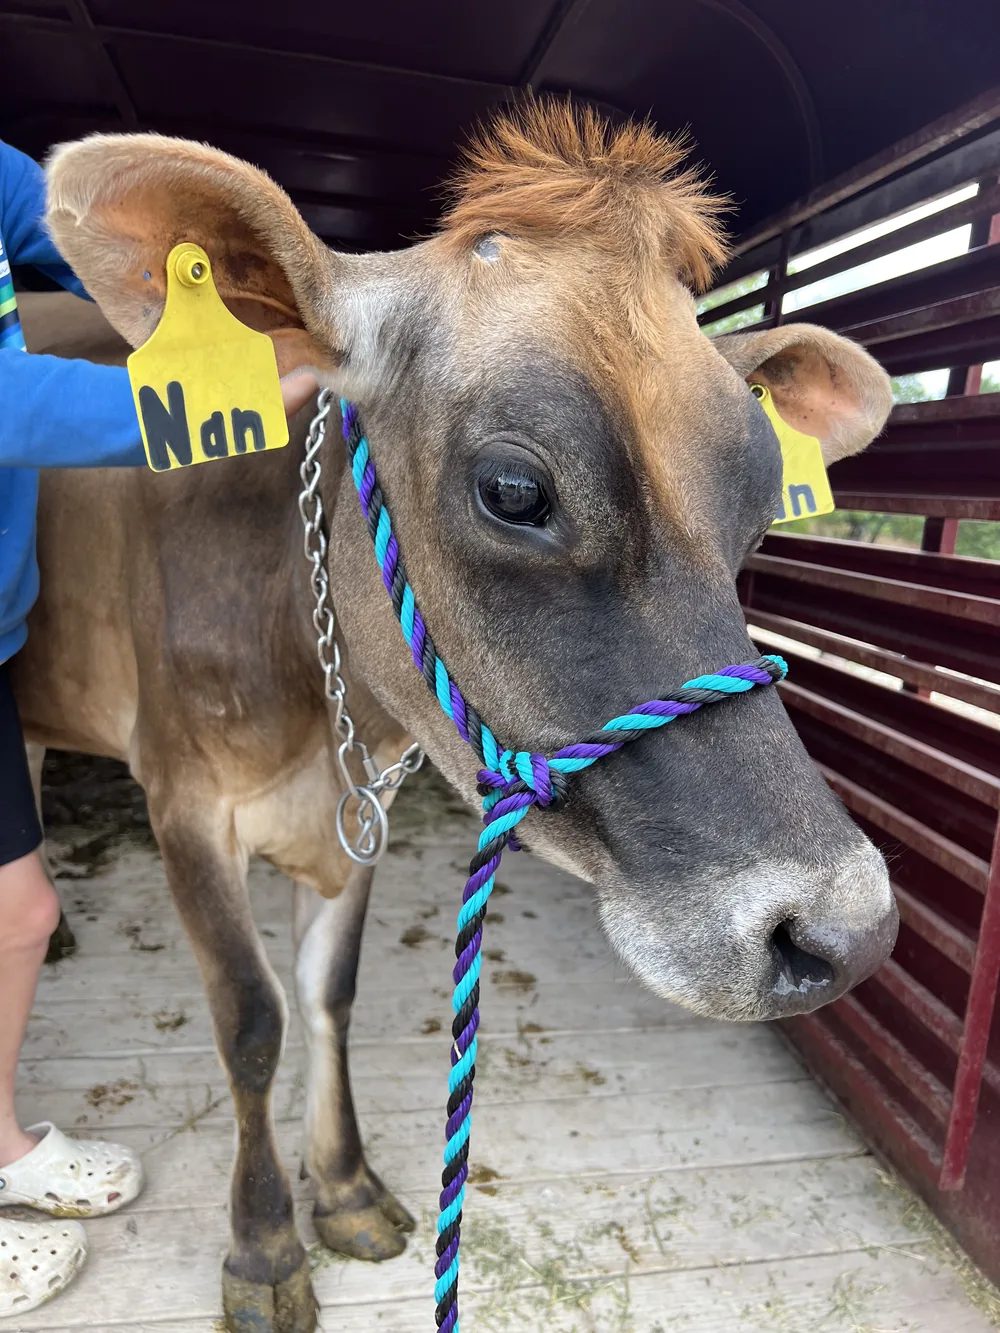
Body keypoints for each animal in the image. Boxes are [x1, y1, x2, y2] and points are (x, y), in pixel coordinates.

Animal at [15, 101, 897, 1333]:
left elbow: (329, 993)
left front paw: (343, 1190)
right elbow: (252, 1021)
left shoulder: (355, 807)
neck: (311, 686)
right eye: (514, 491)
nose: (842, 931)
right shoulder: (183, 800)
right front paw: (265, 1250)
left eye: (764, 499)